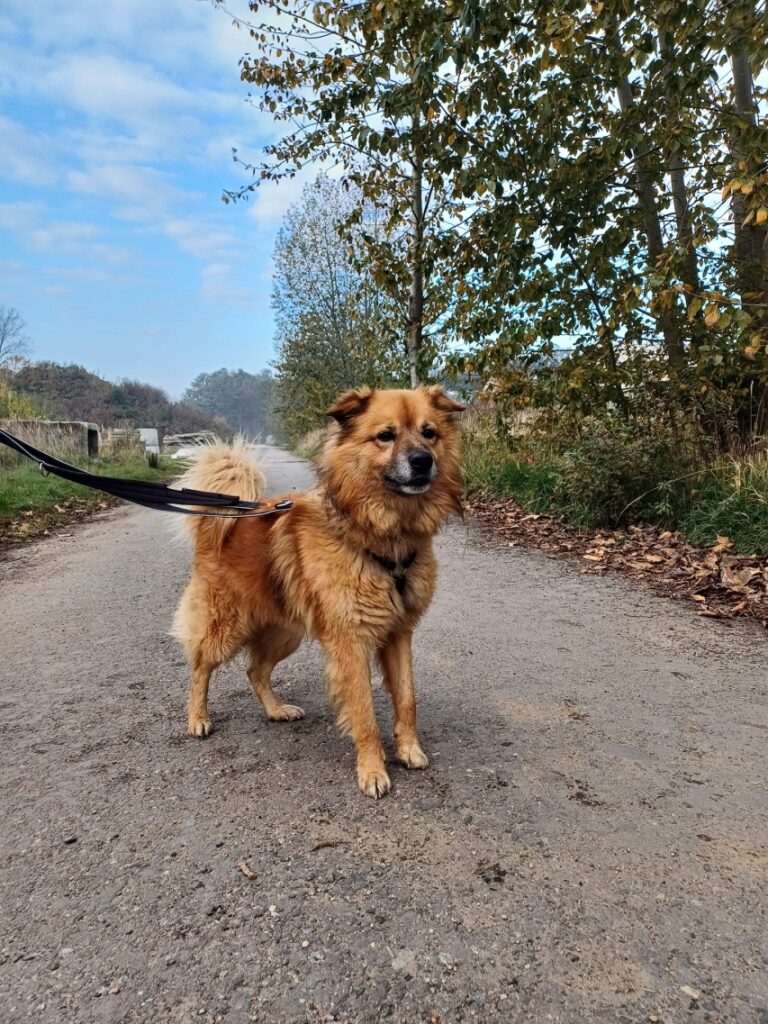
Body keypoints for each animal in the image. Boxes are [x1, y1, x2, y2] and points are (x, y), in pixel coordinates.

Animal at [172, 382, 466, 790]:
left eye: (429, 433)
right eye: (385, 436)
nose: (423, 460)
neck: (380, 535)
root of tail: (223, 517)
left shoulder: (399, 633)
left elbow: (407, 698)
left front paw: (408, 749)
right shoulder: (351, 643)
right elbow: (364, 712)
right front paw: (373, 770)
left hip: (285, 632)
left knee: (255, 670)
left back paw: (277, 710)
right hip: (227, 626)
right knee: (201, 668)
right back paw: (197, 718)